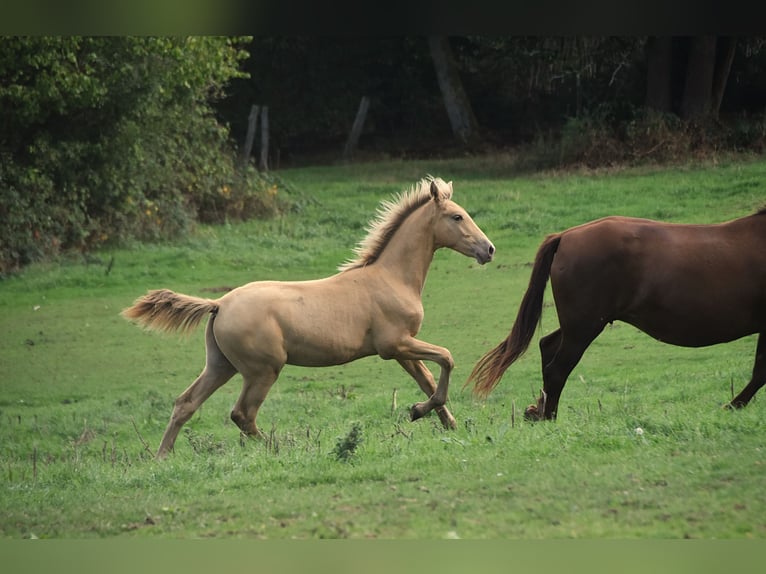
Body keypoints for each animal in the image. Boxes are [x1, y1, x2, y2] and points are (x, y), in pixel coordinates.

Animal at [122, 177, 495, 458]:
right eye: (457, 217)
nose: (488, 249)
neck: (391, 277)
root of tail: (219, 304)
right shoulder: (395, 345)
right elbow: (446, 358)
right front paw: (421, 412)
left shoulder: (403, 348)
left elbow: (428, 381)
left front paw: (441, 421)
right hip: (262, 370)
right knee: (243, 414)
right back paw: (279, 448)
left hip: (220, 365)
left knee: (185, 403)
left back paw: (162, 458)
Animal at [466, 208, 766, 420]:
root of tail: (566, 236)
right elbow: (760, 373)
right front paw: (733, 405)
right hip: (584, 327)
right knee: (557, 368)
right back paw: (548, 416)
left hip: (578, 324)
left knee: (547, 346)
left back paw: (539, 410)